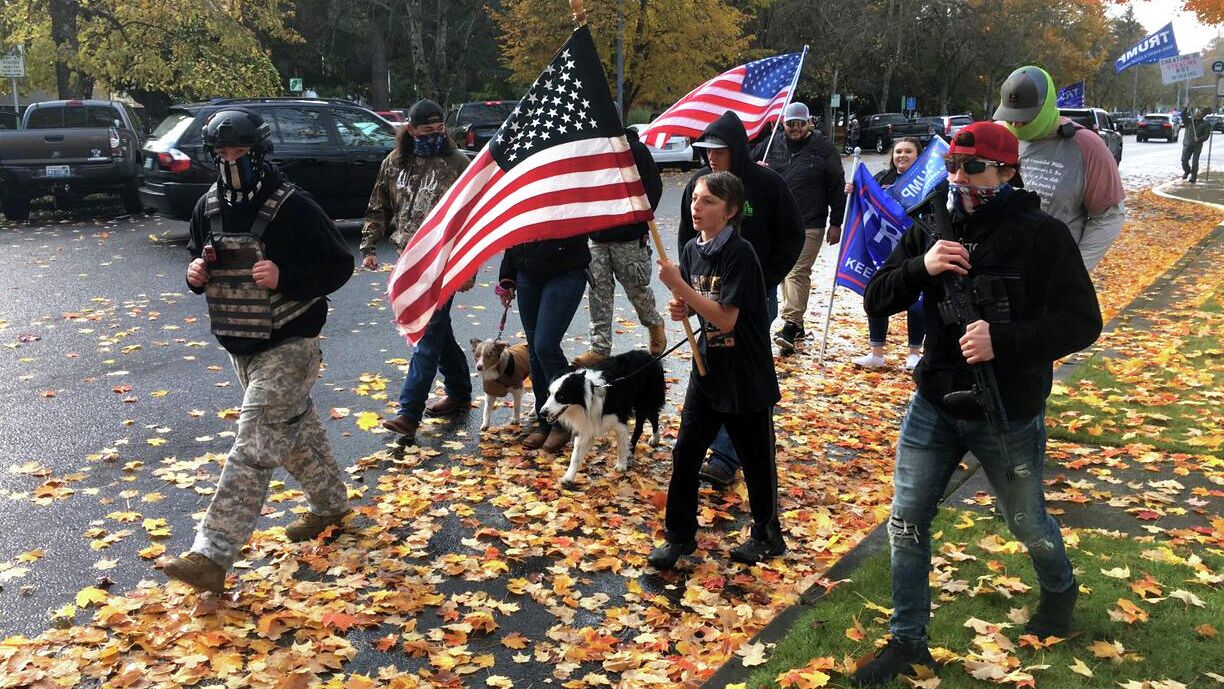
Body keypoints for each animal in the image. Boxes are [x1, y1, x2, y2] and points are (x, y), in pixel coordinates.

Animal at [541, 350, 665, 484]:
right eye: (548, 394)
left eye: (561, 397)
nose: (542, 413)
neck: (589, 396)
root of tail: (649, 354)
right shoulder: (585, 425)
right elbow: (575, 455)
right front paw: (568, 477)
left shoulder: (620, 421)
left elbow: (621, 445)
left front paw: (621, 465)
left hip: (646, 400)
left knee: (653, 417)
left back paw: (654, 438)